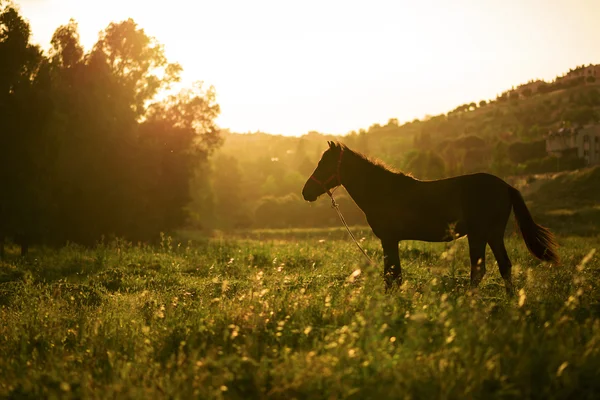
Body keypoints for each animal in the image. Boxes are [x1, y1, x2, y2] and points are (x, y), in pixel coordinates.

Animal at [302, 142, 560, 296]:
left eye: (324, 164)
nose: (306, 192)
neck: (384, 190)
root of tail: (506, 186)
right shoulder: (391, 240)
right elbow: (394, 274)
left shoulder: (389, 239)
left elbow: (392, 274)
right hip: (493, 234)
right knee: (504, 266)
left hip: (479, 234)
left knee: (479, 270)